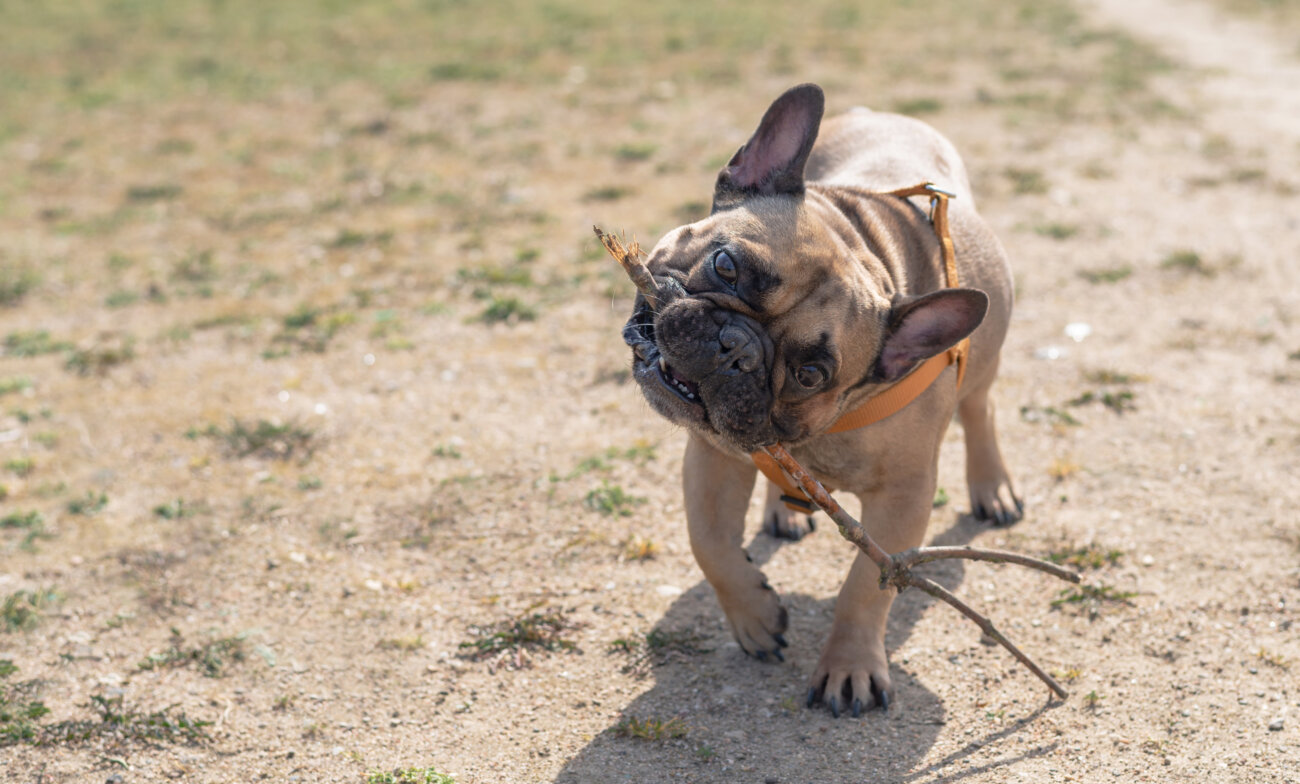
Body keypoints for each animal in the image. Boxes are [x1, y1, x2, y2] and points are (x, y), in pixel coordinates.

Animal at [621, 84, 1024, 717]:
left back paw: (993, 488)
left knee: (980, 410)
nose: (737, 348)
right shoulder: (713, 459)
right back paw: (783, 510)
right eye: (725, 264)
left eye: (810, 374)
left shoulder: (903, 501)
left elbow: (864, 588)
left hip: (984, 364)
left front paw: (850, 666)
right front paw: (755, 617)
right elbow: (708, 542)